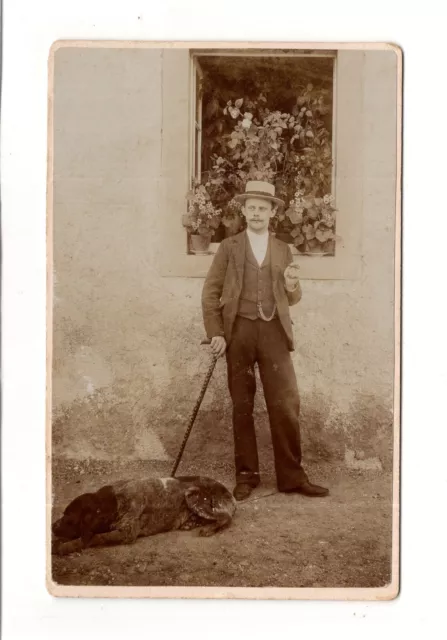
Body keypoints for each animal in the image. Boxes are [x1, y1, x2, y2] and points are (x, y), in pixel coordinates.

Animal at [52, 476, 238, 556]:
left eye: (68, 517)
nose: (51, 526)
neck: (114, 502)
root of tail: (230, 494)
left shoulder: (128, 533)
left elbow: (96, 537)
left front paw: (65, 547)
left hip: (193, 495)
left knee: (225, 517)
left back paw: (209, 528)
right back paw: (190, 523)